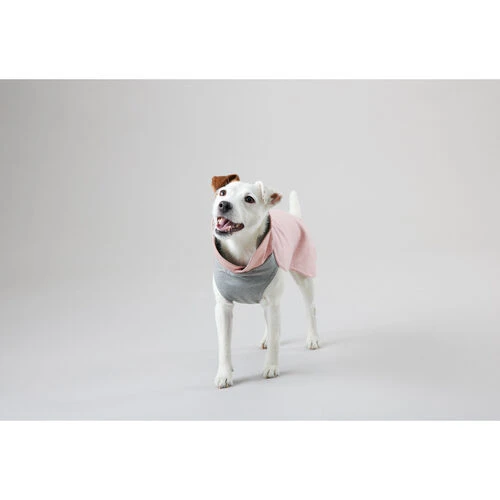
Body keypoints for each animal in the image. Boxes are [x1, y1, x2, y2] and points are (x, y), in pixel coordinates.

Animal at [211, 174, 319, 388]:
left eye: (249, 199)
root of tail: (294, 216)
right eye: (222, 192)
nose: (223, 204)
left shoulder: (273, 302)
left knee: (309, 308)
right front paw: (225, 373)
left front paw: (271, 366)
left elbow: (276, 339)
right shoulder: (223, 307)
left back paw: (312, 338)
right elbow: (224, 345)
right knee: (270, 323)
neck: (241, 252)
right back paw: (268, 337)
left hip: (303, 277)